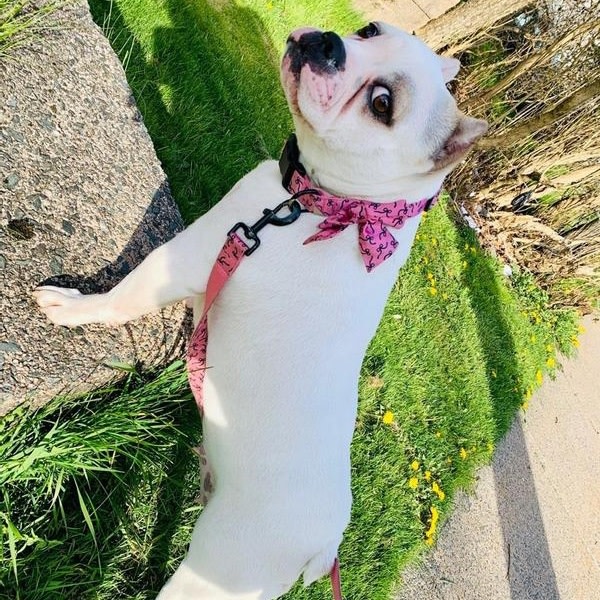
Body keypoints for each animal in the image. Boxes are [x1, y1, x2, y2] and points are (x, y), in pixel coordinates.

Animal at [35, 21, 488, 596]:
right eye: (368, 30)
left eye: (382, 104)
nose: (327, 43)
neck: (330, 206)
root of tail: (322, 548)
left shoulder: (185, 257)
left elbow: (121, 298)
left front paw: (70, 306)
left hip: (213, 572)